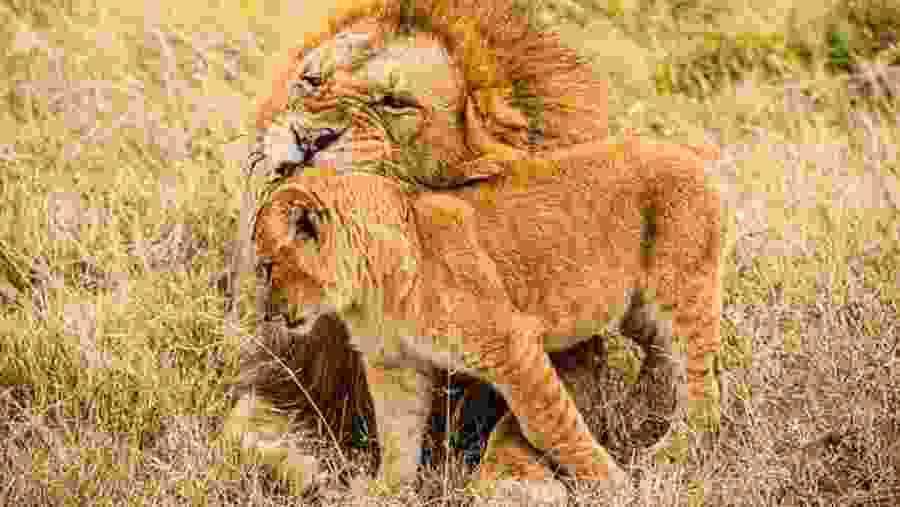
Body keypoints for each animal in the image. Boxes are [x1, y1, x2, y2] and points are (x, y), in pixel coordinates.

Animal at [224, 131, 723, 500]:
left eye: (266, 266)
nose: (267, 315)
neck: (372, 292)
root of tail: (688, 149)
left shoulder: (513, 346)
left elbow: (551, 424)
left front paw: (611, 483)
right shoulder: (395, 366)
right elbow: (397, 433)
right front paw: (385, 490)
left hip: (681, 290)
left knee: (701, 379)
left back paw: (675, 448)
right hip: (635, 309)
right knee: (664, 353)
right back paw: (646, 402)